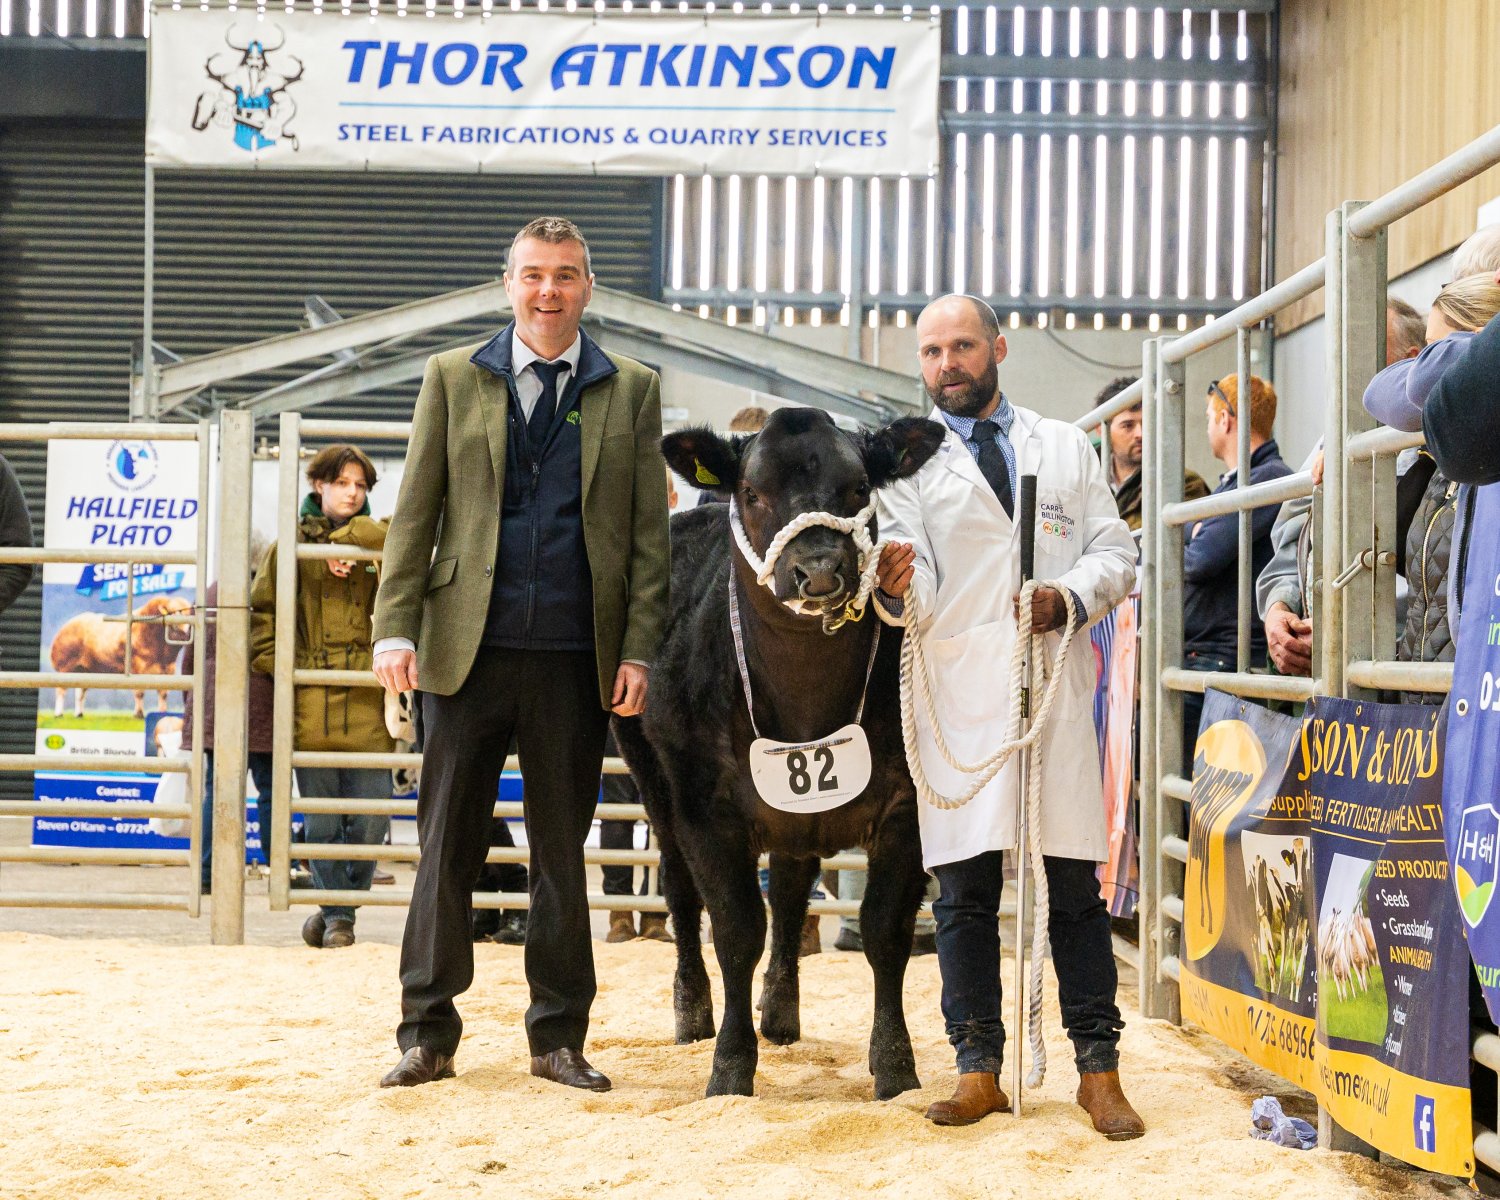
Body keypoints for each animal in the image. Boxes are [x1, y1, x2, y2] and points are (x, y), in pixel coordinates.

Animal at [50, 594, 193, 718]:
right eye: (175, 612)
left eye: (190, 613)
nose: (187, 631)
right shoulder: (137, 666)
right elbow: (139, 692)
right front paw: (138, 714)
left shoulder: (169, 668)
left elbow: (163, 693)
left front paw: (162, 713)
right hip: (64, 666)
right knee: (61, 689)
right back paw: (58, 713)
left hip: (84, 669)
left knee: (80, 691)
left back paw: (79, 714)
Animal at [612, 407, 946, 1100]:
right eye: (753, 492)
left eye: (858, 487)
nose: (817, 571)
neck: (806, 698)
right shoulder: (705, 811)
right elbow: (736, 929)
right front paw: (730, 1068)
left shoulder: (906, 810)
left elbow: (885, 930)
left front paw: (896, 1068)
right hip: (652, 781)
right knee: (680, 892)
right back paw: (692, 1012)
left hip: (795, 821)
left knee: (791, 893)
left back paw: (782, 1010)